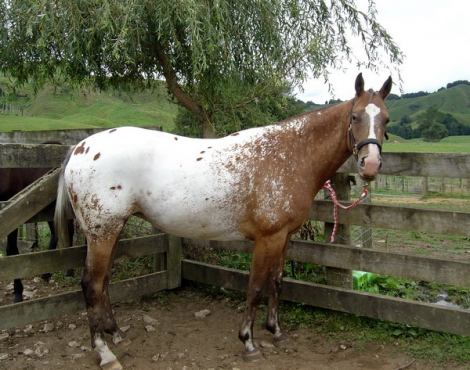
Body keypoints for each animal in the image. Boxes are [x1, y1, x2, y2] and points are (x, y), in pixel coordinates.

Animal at [0, 143, 74, 302]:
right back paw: (46, 273)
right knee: (55, 232)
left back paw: (69, 271)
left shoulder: (14, 213)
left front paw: (18, 293)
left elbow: (11, 250)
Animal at [55, 73, 392, 368]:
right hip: (102, 232)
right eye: (355, 117)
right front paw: (249, 342)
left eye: (386, 119)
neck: (289, 156)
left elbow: (277, 282)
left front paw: (276, 332)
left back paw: (116, 333)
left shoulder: (284, 238)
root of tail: (80, 148)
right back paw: (104, 352)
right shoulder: (267, 239)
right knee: (91, 284)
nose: (370, 165)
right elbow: (255, 287)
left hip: (113, 230)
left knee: (104, 282)